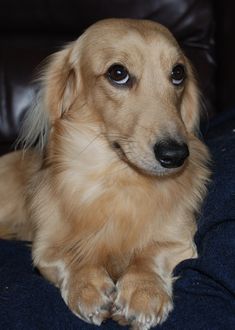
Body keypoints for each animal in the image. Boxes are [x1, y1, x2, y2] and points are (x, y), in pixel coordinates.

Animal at [0, 18, 209, 330]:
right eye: (118, 73)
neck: (117, 179)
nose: (175, 155)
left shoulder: (180, 239)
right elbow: (72, 253)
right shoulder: (45, 248)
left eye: (178, 73)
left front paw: (143, 289)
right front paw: (86, 283)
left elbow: (150, 251)